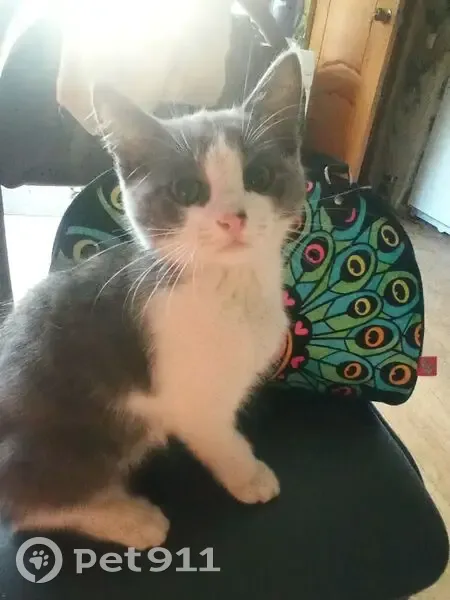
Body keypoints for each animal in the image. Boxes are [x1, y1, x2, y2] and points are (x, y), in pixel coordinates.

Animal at [0, 51, 305, 549]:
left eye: (258, 177)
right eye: (188, 191)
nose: (233, 218)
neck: (229, 287)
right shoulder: (190, 398)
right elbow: (220, 439)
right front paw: (249, 475)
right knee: (27, 503)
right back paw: (128, 517)